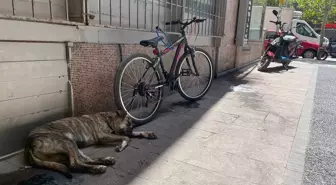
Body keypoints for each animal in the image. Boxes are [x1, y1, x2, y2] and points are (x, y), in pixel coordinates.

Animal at [24, 110, 158, 178]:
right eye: (128, 123)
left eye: (132, 125)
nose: (131, 129)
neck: (108, 119)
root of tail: (28, 144)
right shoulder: (103, 136)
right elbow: (126, 137)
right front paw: (122, 145)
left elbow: (129, 135)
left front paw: (146, 133)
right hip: (66, 141)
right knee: (74, 164)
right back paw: (98, 168)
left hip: (72, 145)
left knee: (84, 159)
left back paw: (106, 161)